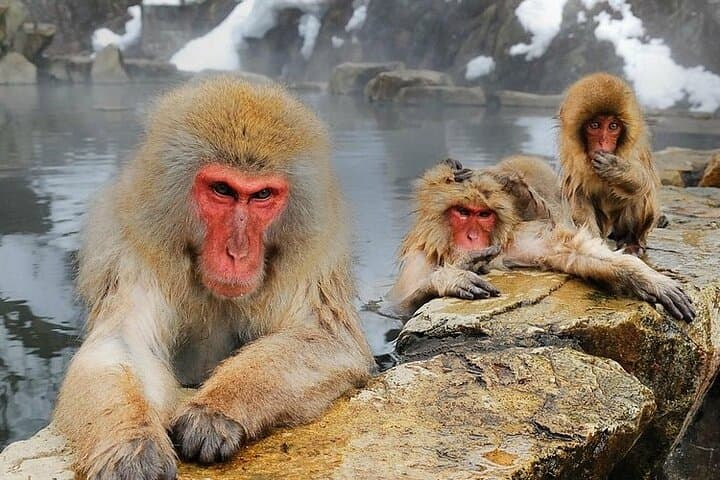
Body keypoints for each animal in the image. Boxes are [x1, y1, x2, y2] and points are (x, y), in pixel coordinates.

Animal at [52, 77, 374, 480]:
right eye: (222, 190)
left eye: (262, 195)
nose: (237, 253)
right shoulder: (132, 247)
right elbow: (120, 343)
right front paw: (131, 444)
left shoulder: (314, 254)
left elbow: (327, 337)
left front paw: (215, 411)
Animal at [387, 156, 694, 323]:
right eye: (463, 212)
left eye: (483, 214)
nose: (473, 237)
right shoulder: (418, 259)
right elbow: (398, 306)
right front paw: (454, 276)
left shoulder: (512, 242)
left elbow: (570, 251)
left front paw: (646, 278)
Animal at [558, 72, 660, 256]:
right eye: (595, 125)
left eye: (613, 126)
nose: (603, 141)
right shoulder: (572, 156)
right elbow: (579, 194)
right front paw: (592, 243)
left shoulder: (635, 150)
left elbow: (645, 181)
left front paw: (617, 169)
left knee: (639, 194)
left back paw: (631, 242)